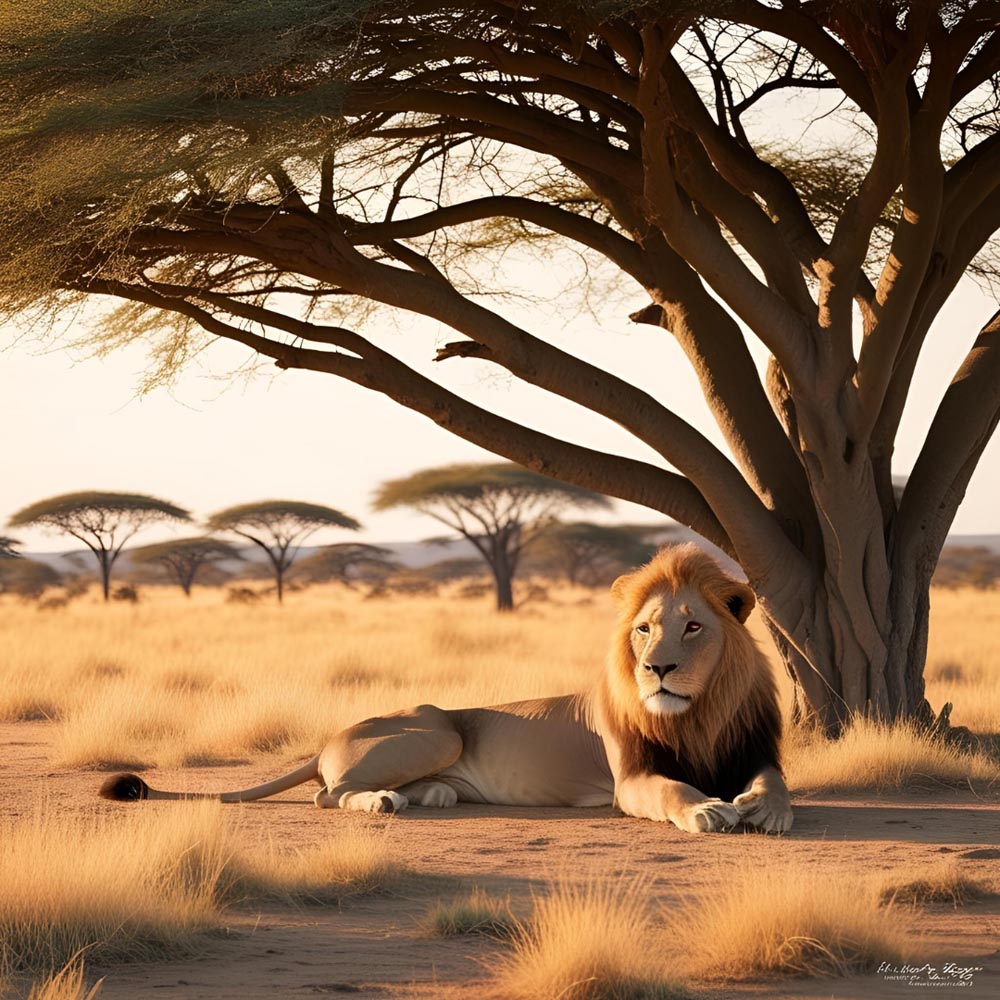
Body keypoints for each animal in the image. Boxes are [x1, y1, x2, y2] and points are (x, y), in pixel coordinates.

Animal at [100, 545, 792, 834]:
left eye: (694, 626)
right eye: (644, 629)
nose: (656, 669)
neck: (697, 713)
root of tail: (328, 738)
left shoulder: (752, 750)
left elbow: (775, 784)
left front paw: (767, 810)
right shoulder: (630, 780)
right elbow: (673, 788)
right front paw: (708, 809)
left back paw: (428, 796)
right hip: (436, 727)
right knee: (327, 795)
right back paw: (383, 802)